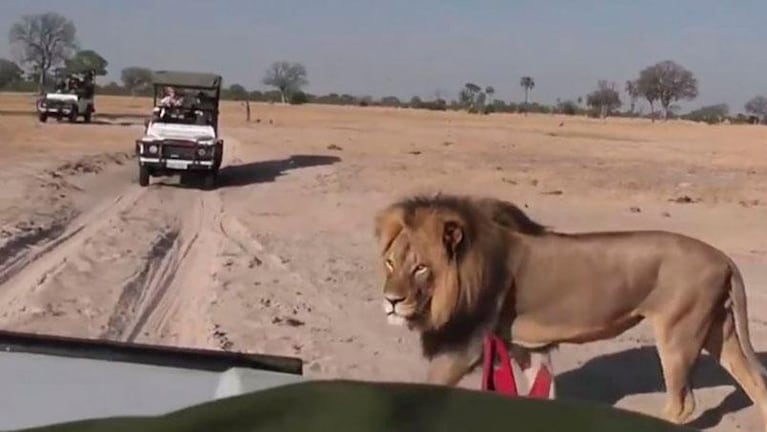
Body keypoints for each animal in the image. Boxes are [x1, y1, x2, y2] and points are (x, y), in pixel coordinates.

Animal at [376, 193, 767, 428]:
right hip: (718, 330)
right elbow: (542, 390)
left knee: (682, 405)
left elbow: (428, 388)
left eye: (421, 268)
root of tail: (723, 257)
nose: (391, 301)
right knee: (755, 382)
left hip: (677, 335)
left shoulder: (465, 346)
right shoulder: (526, 347)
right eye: (391, 263)